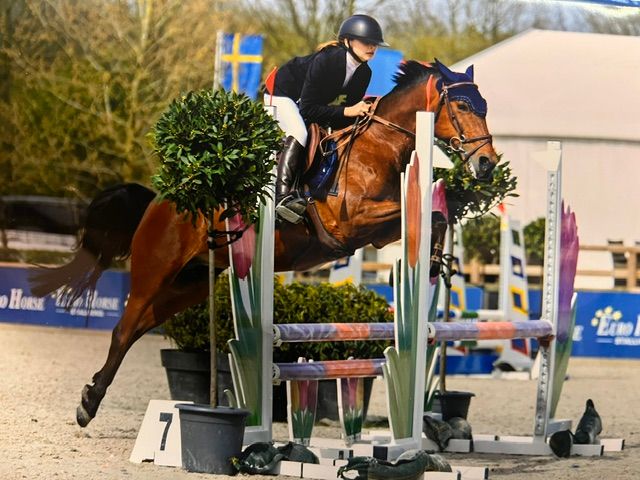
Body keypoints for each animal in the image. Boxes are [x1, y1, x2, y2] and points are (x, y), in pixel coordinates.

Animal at [29, 59, 498, 427]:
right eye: (461, 106)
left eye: (485, 107)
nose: (486, 165)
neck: (378, 145)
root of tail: (165, 197)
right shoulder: (351, 225)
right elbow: (429, 214)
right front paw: (433, 259)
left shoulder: (380, 230)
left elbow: (436, 214)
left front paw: (436, 261)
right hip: (156, 267)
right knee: (124, 328)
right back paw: (88, 405)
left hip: (193, 281)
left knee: (141, 325)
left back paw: (93, 392)